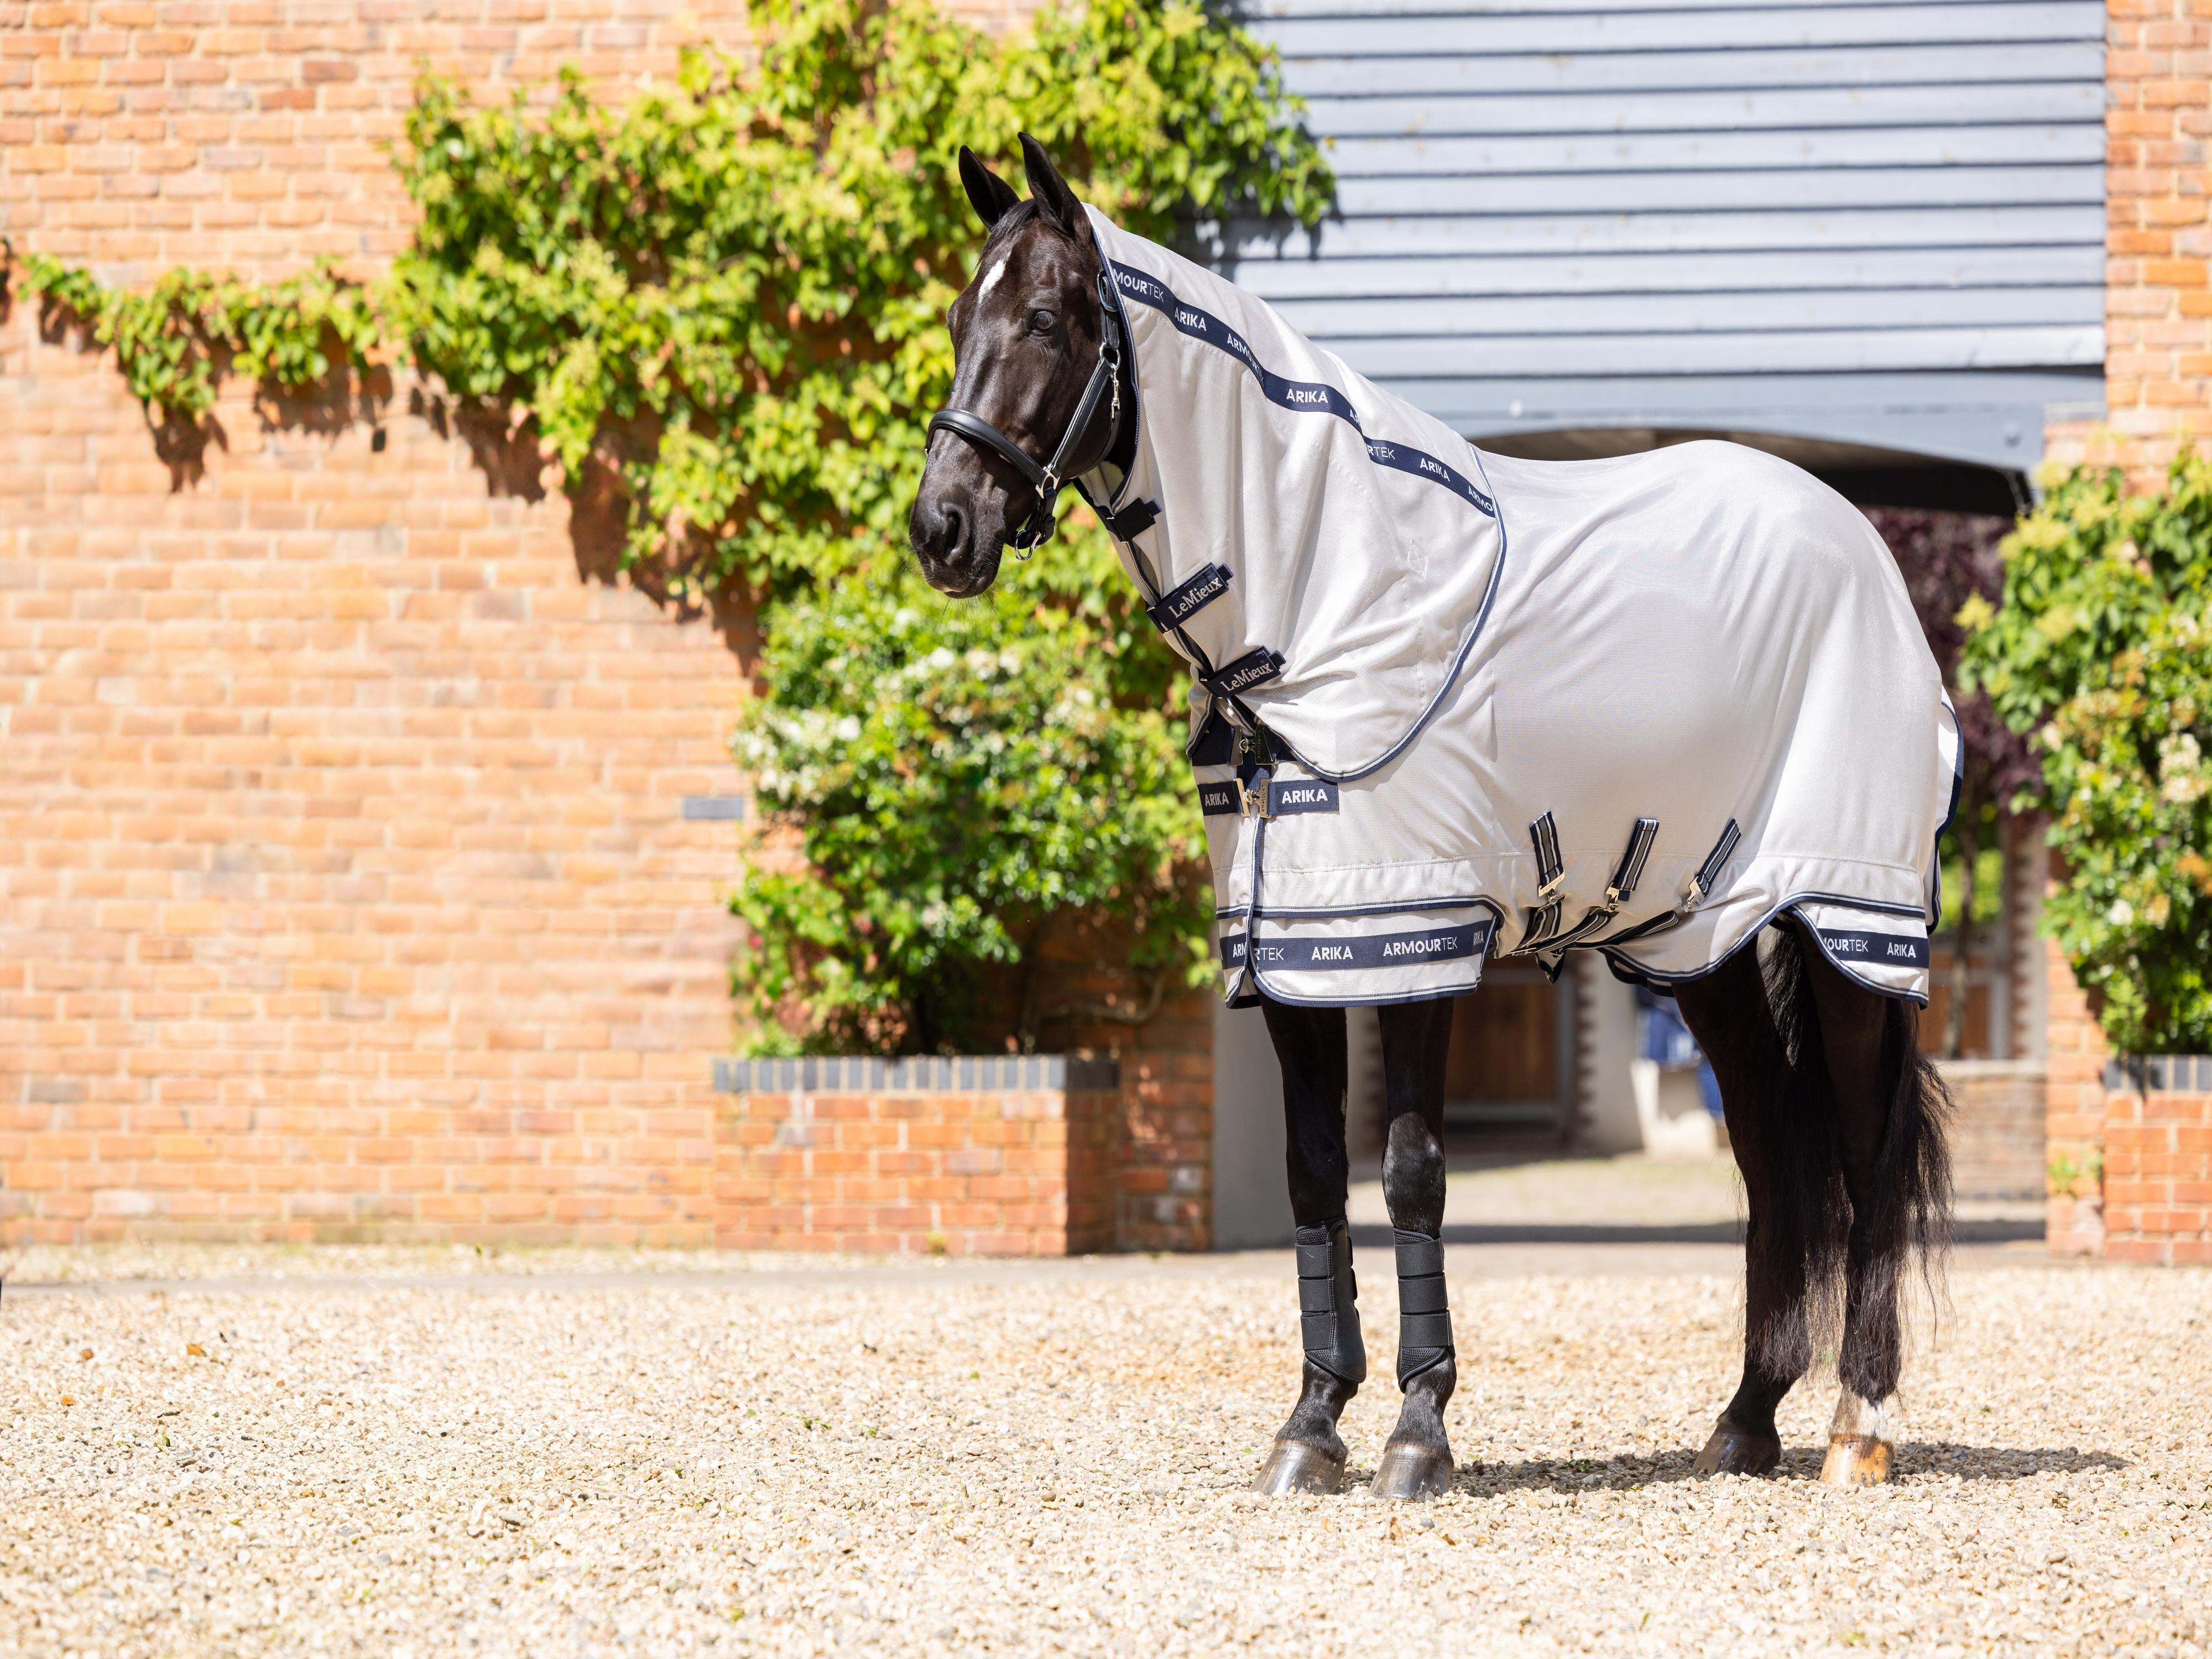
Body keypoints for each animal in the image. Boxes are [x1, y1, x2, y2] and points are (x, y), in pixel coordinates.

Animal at [908, 136, 1953, 1501]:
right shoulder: (1292, 954)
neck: (1325, 598)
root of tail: (1857, 544)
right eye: (955, 318)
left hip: (1849, 924)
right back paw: (1744, 1421)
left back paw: (1857, 1425)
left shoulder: (1417, 942)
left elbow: (1409, 1174)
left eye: (1040, 317)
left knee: (1865, 1149)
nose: (942, 528)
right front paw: (1309, 1427)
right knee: (1776, 1152)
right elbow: (1313, 1175)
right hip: (1705, 943)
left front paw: (1418, 1431)